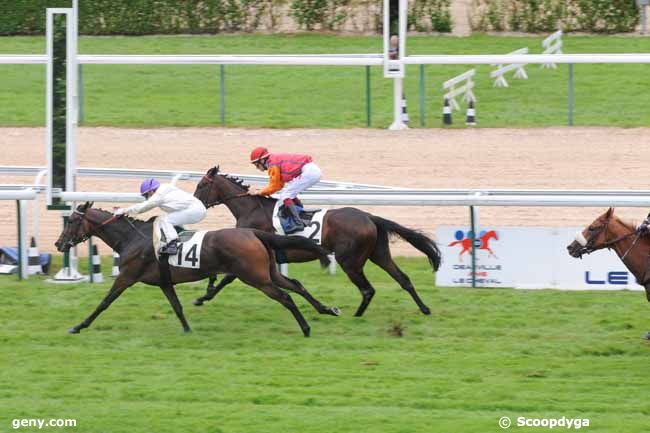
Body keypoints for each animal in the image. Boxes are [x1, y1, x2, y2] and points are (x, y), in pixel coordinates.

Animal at [54, 201, 340, 336]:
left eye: (72, 223)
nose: (58, 244)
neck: (131, 238)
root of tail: (254, 233)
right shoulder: (164, 282)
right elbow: (177, 306)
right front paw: (187, 329)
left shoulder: (126, 276)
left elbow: (104, 302)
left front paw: (78, 326)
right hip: (269, 272)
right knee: (296, 286)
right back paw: (327, 309)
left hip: (255, 277)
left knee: (286, 296)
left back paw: (306, 328)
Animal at [192, 165, 440, 314]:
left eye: (201, 185)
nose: (193, 204)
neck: (251, 208)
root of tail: (369, 216)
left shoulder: (246, 255)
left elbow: (227, 278)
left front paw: (203, 298)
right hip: (378, 254)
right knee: (402, 278)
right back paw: (425, 308)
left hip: (350, 261)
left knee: (368, 289)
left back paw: (356, 315)